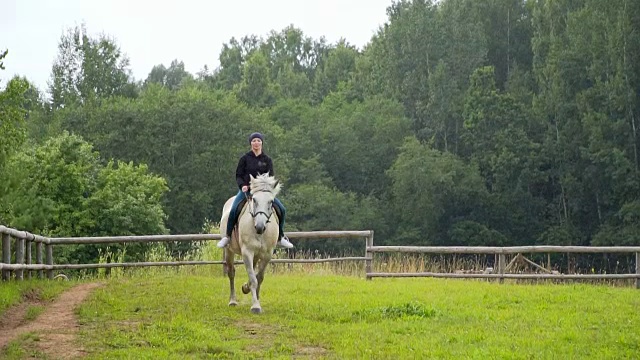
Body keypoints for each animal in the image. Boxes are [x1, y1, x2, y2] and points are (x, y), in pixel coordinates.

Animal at [219, 173, 282, 314]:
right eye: (254, 200)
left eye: (271, 201)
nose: (259, 227)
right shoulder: (247, 252)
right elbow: (253, 279)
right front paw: (255, 306)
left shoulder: (267, 254)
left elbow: (259, 278)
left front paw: (251, 294)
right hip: (229, 251)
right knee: (231, 273)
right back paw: (232, 301)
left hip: (257, 255)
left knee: (252, 270)